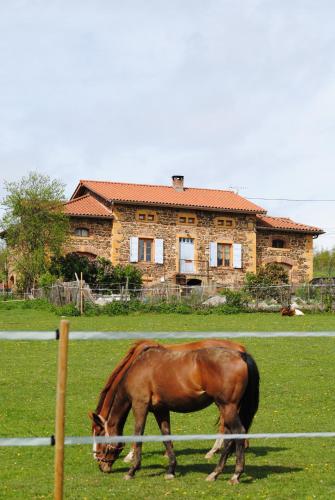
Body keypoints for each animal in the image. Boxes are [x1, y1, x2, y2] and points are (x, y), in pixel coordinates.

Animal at [89, 346, 260, 482]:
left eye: (99, 436)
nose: (101, 465)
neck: (139, 366)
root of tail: (240, 355)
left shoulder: (140, 406)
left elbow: (138, 435)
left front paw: (132, 470)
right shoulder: (161, 410)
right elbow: (166, 437)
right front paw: (171, 470)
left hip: (227, 407)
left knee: (238, 433)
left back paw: (235, 474)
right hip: (229, 409)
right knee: (230, 438)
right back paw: (215, 473)